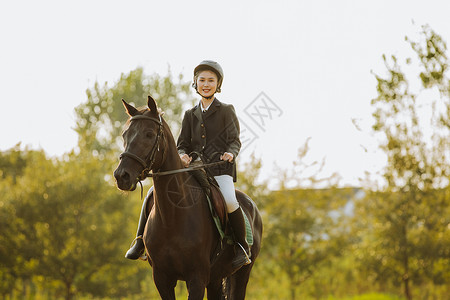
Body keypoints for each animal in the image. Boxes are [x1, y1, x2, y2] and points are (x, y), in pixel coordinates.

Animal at [113, 96, 264, 300]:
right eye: (124, 134)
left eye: (149, 134)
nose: (122, 176)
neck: (172, 217)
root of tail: (251, 205)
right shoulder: (161, 278)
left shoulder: (197, 278)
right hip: (216, 278)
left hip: (241, 274)